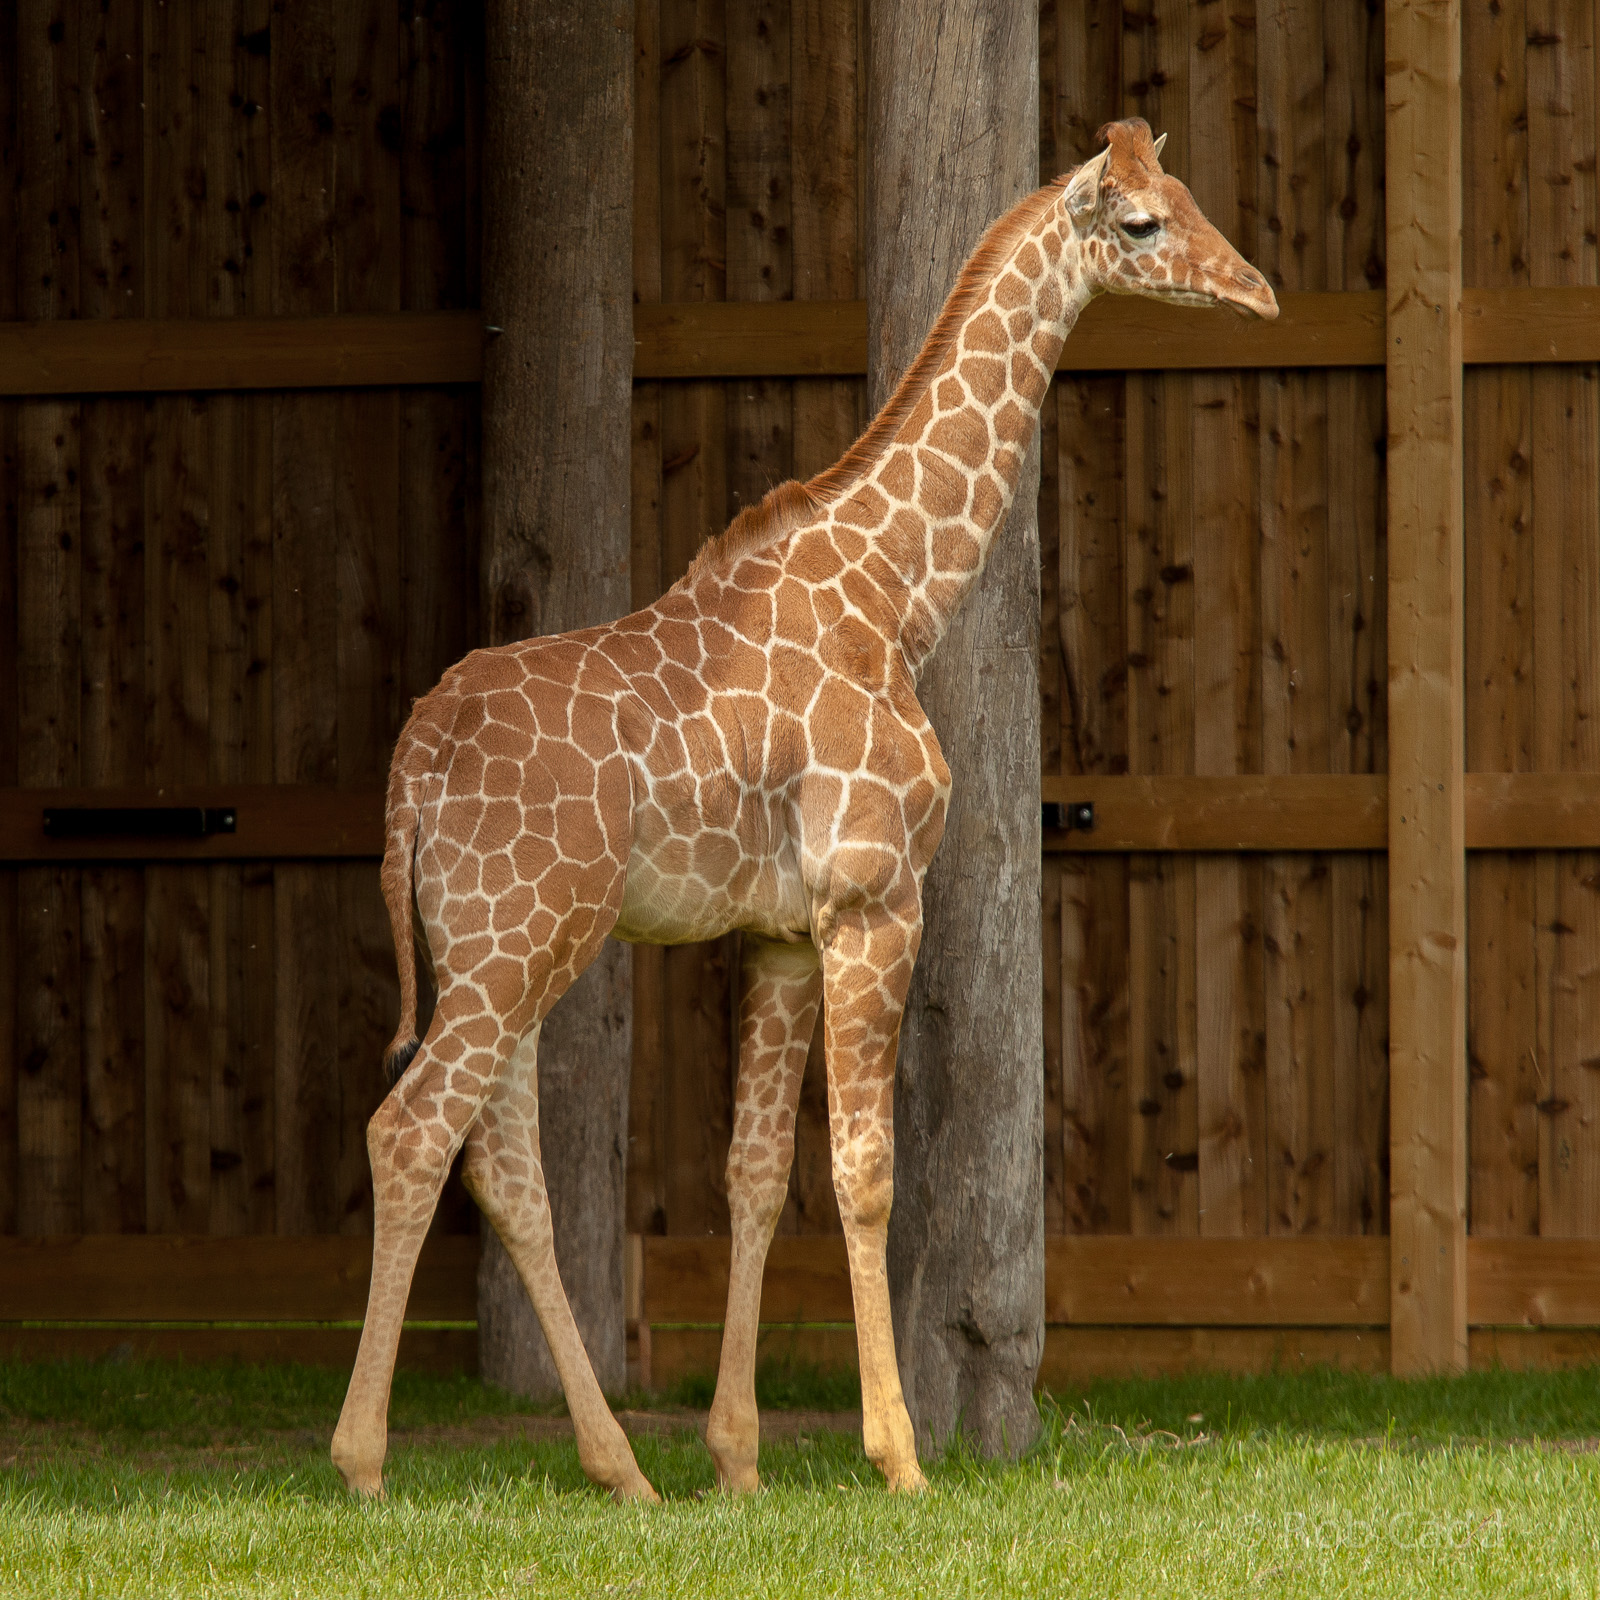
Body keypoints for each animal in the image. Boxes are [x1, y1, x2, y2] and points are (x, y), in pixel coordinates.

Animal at [330, 117, 1276, 1503]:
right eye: (1144, 223)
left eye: (1194, 197)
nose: (1257, 292)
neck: (896, 592)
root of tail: (413, 764)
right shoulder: (873, 896)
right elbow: (864, 1172)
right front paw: (899, 1457)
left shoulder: (778, 932)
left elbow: (756, 1174)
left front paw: (736, 1459)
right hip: (519, 939)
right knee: (410, 1131)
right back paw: (364, 1463)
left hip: (488, 945)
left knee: (501, 1165)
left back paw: (623, 1468)